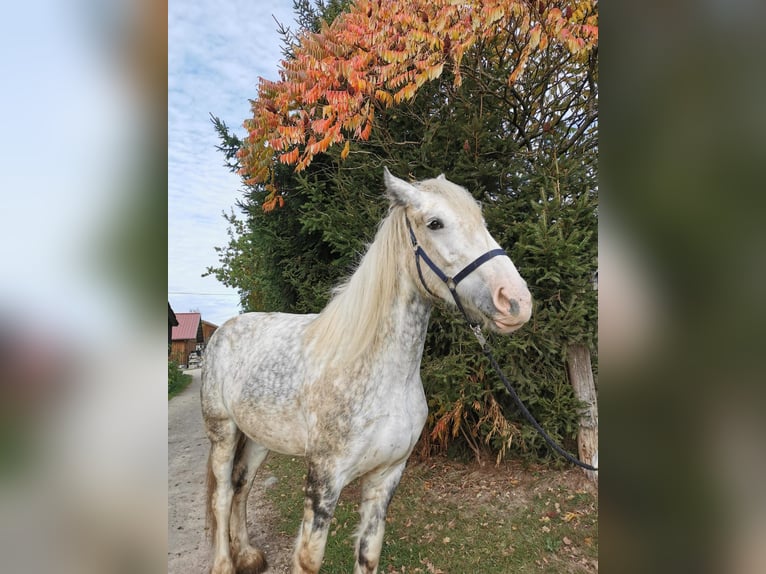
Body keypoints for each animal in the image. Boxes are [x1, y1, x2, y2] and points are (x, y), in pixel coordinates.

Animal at [201, 168, 532, 574]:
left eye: (482, 220)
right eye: (435, 223)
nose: (516, 301)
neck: (378, 374)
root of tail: (223, 332)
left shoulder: (385, 477)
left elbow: (368, 552)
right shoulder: (324, 481)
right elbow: (309, 558)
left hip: (259, 438)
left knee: (242, 486)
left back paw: (247, 554)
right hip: (223, 433)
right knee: (222, 494)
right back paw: (224, 563)